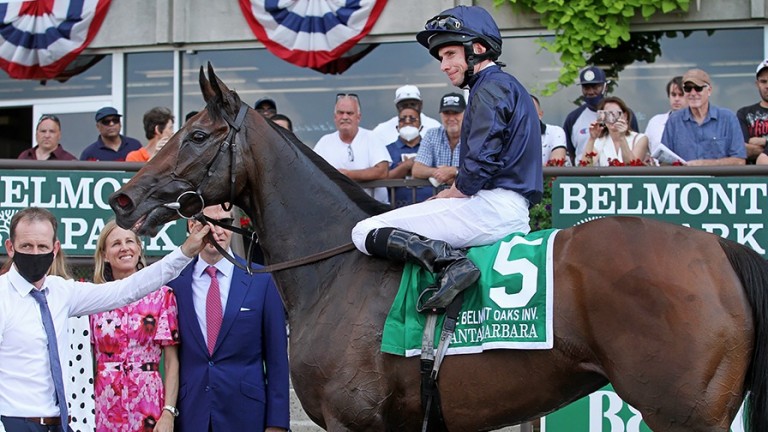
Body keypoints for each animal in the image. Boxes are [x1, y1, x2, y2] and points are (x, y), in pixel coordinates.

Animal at [108, 65, 768, 432]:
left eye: (197, 135)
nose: (123, 199)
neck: (335, 270)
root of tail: (718, 249)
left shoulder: (353, 423)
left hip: (684, 414)